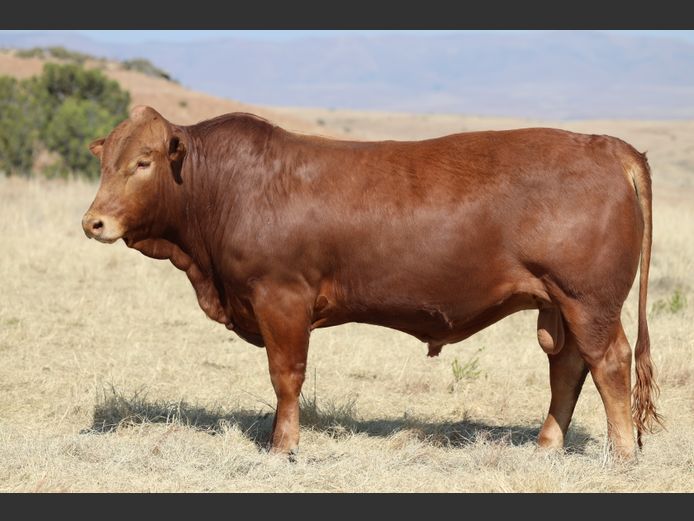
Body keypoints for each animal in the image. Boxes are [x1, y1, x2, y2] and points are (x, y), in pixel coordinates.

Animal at [82, 105, 661, 460]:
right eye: (106, 161)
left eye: (143, 162)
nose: (94, 222)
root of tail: (607, 145)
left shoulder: (281, 298)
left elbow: (286, 377)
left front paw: (283, 447)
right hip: (559, 303)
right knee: (568, 368)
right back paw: (546, 446)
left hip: (588, 300)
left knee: (608, 362)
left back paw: (622, 455)